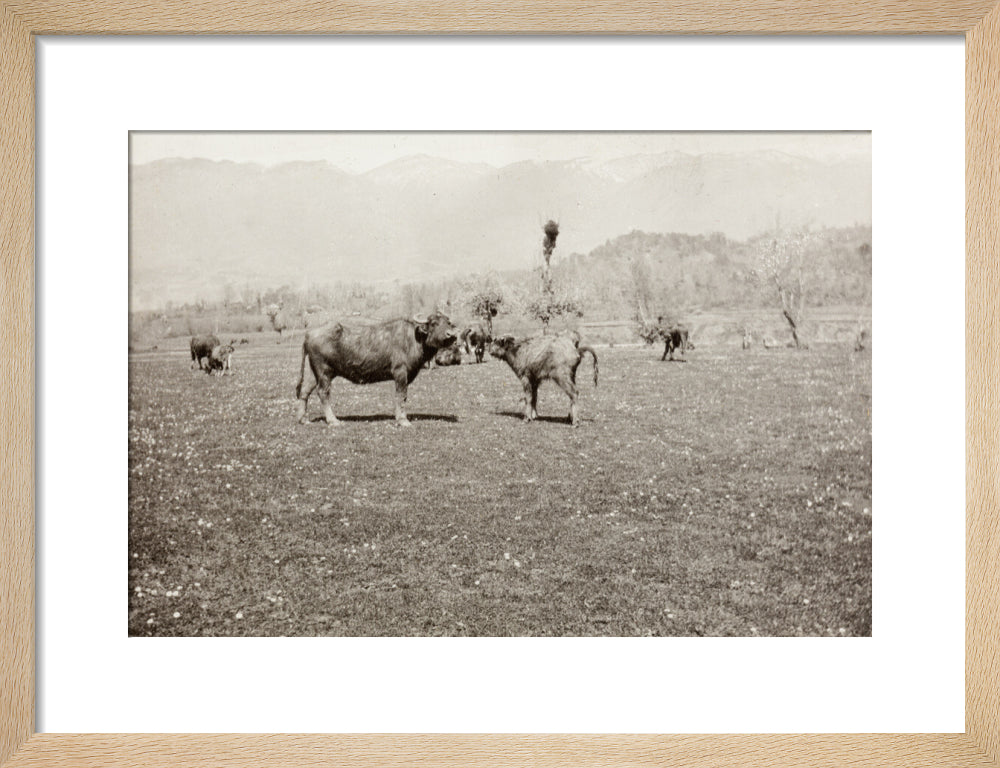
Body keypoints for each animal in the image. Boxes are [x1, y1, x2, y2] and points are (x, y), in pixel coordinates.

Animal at [295, 312, 458, 426]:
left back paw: (303, 419)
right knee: (323, 392)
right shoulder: (400, 372)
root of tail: (309, 334)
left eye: (448, 322)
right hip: (324, 371)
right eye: (434, 323)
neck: (414, 339)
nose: (451, 335)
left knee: (304, 391)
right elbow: (401, 395)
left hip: (313, 372)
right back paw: (333, 420)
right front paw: (402, 420)